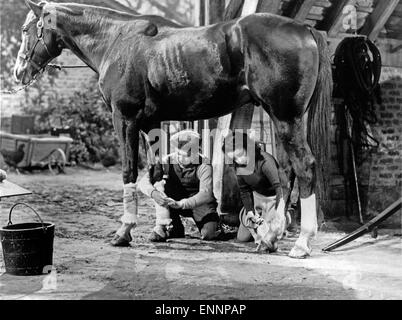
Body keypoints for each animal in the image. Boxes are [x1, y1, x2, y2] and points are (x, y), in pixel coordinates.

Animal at [14, 1, 332, 258]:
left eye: (27, 28)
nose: (19, 72)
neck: (116, 40)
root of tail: (305, 30)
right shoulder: (151, 123)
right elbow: (157, 174)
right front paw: (162, 227)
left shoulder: (125, 119)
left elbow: (129, 172)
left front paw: (124, 232)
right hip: (286, 119)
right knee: (287, 171)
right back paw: (271, 237)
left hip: (285, 117)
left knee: (304, 167)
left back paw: (301, 242)